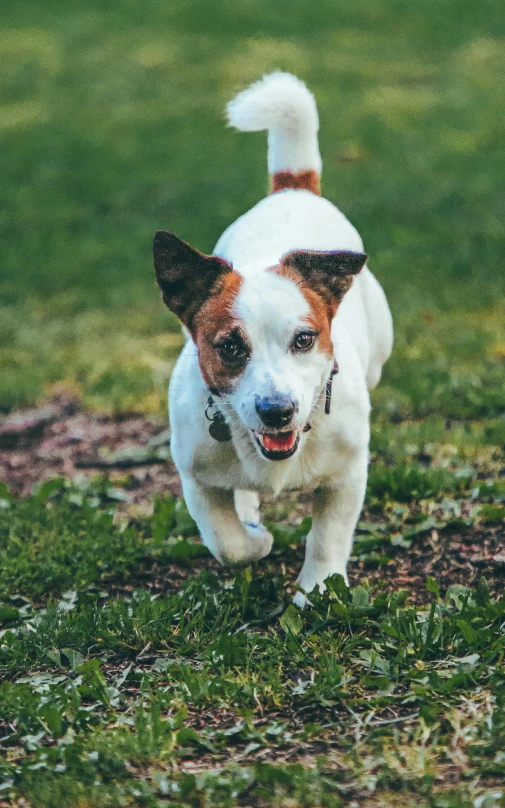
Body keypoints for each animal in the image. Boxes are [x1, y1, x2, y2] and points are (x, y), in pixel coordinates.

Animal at [154, 71, 394, 608]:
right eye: (229, 347)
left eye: (304, 339)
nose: (277, 412)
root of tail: (293, 189)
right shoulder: (196, 477)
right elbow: (226, 542)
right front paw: (254, 538)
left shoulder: (347, 475)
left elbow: (328, 535)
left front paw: (318, 589)